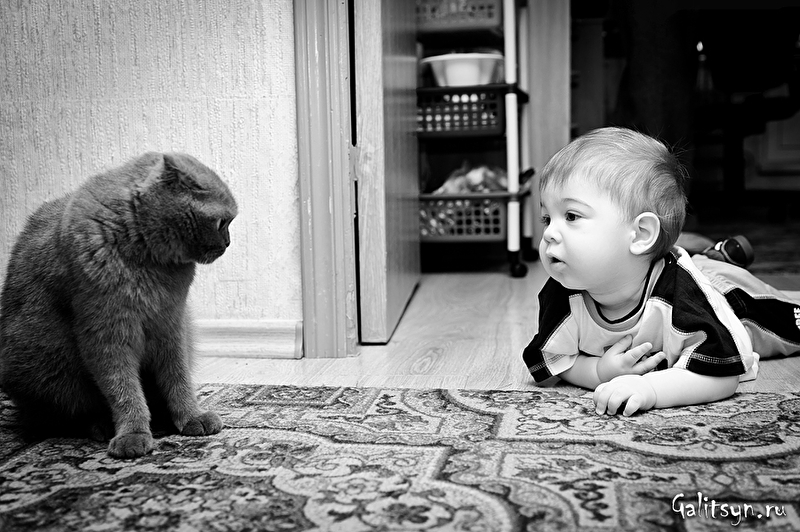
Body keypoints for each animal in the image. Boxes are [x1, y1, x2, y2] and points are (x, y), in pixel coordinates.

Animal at [0, 152, 237, 458]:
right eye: (222, 223)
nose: (229, 242)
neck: (150, 264)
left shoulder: (172, 323)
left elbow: (179, 377)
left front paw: (190, 416)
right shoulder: (106, 333)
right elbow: (123, 388)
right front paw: (133, 433)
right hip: (44, 362)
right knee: (66, 414)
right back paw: (101, 426)